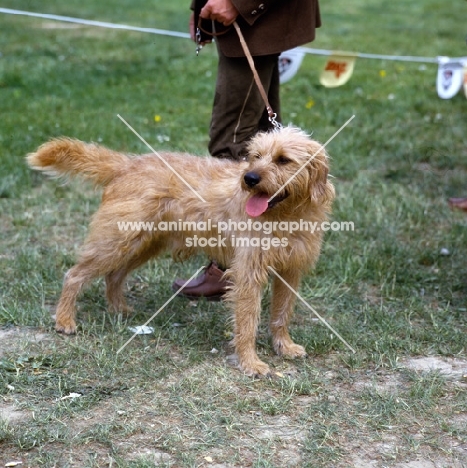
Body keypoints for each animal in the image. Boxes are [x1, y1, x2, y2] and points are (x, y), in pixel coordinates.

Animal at [28, 127, 332, 376]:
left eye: (283, 159)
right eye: (255, 156)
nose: (249, 178)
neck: (286, 215)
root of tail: (128, 163)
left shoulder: (290, 271)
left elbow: (281, 313)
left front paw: (284, 346)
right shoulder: (248, 273)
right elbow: (247, 322)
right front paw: (250, 362)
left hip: (142, 244)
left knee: (114, 275)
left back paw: (119, 309)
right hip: (116, 241)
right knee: (75, 274)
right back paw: (64, 319)